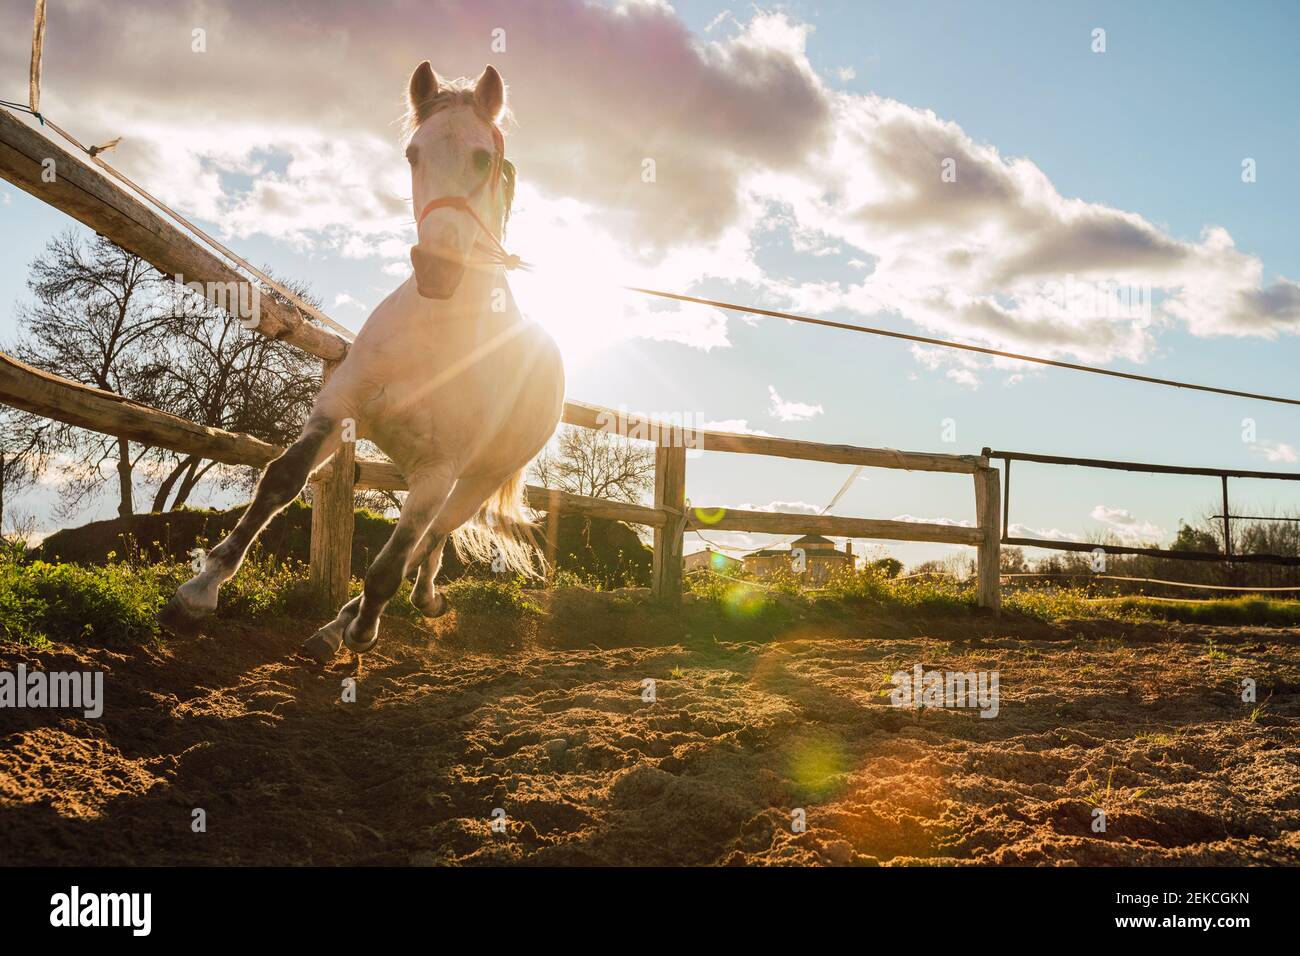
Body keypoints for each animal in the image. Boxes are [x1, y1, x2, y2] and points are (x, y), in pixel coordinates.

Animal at [161, 62, 565, 663]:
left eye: (482, 157)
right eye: (413, 154)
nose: (437, 269)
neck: (437, 337)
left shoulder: (439, 471)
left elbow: (388, 565)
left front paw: (363, 630)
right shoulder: (340, 409)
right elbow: (281, 481)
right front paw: (197, 594)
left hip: (471, 482)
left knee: (428, 539)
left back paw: (375, 616)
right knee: (425, 541)